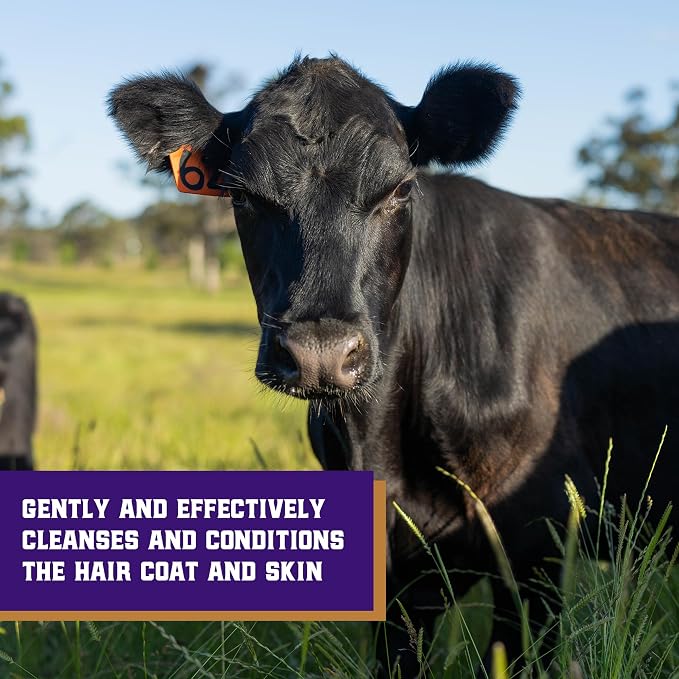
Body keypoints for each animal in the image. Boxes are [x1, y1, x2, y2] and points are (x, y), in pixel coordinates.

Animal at [109, 56, 679, 675]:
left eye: (400, 189)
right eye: (244, 198)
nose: (321, 353)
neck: (381, 444)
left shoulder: (537, 549)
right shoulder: (403, 582)